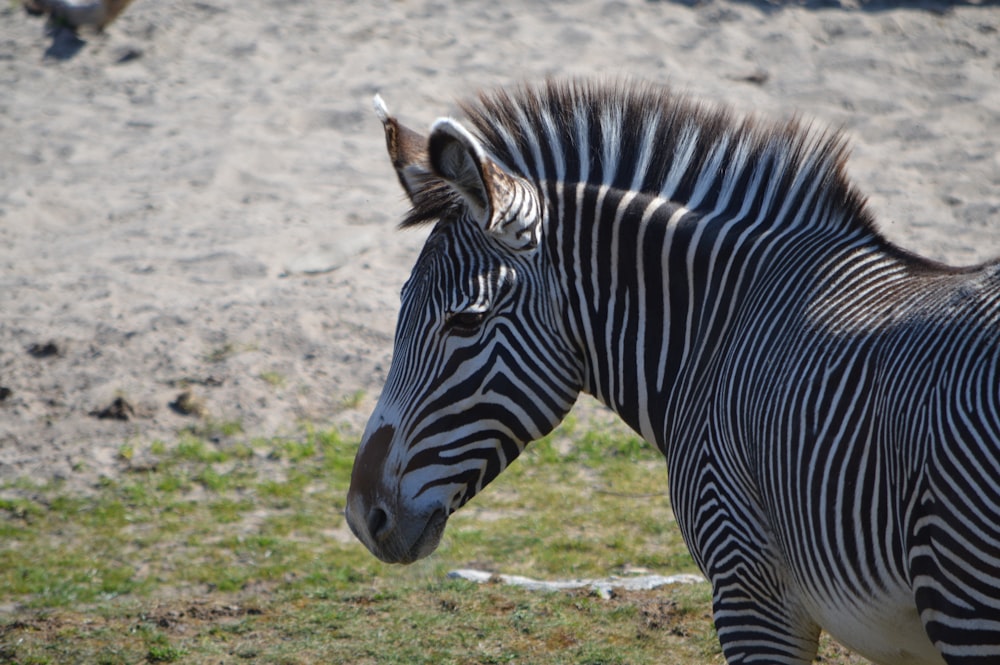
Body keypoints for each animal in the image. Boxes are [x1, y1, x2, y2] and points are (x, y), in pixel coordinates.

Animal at [346, 80, 1000, 660]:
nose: (359, 518)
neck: (720, 331)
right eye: (400, 305)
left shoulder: (750, 589)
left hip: (965, 596)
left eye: (465, 321)